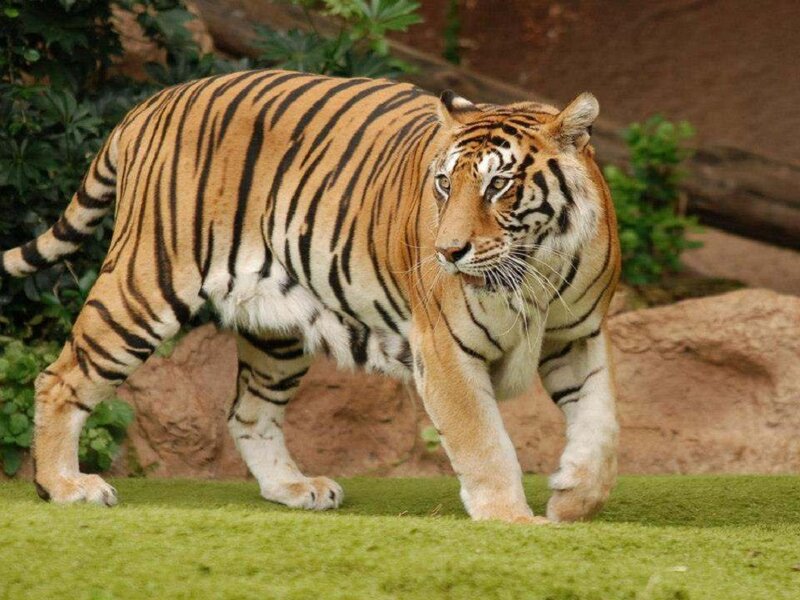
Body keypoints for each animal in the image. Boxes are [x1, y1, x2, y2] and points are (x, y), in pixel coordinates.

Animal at [0, 69, 621, 523]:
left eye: (499, 184)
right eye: (444, 184)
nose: (447, 252)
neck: (539, 268)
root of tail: (151, 103)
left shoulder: (577, 338)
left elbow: (601, 430)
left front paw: (571, 499)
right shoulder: (446, 350)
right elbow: (484, 442)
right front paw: (511, 520)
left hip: (275, 329)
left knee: (247, 412)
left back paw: (294, 487)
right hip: (144, 284)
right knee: (58, 379)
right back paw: (64, 487)